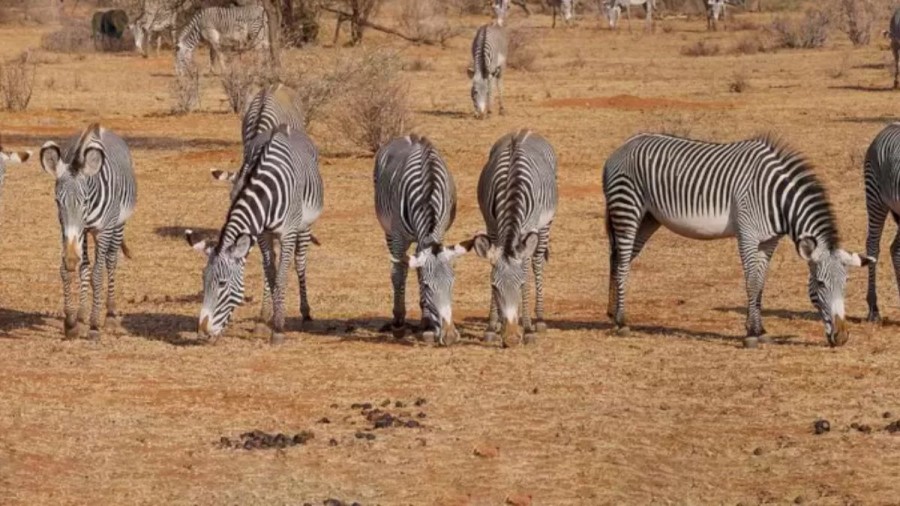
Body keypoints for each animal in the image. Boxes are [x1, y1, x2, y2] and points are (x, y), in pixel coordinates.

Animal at [39, 124, 138, 342]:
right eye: (57, 201)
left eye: (84, 200)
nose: (70, 258)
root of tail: (103, 129)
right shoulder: (70, 230)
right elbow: (69, 271)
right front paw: (71, 323)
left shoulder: (104, 231)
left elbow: (97, 275)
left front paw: (94, 326)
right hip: (86, 235)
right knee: (84, 267)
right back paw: (82, 315)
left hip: (117, 225)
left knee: (110, 262)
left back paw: (109, 315)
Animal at [185, 123, 322, 344]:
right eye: (203, 281)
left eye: (222, 284)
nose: (202, 333)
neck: (266, 194)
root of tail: (285, 128)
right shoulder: (262, 234)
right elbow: (270, 273)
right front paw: (268, 320)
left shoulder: (288, 233)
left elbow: (281, 277)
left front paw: (278, 328)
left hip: (305, 225)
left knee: (300, 263)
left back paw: (306, 313)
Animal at [374, 135, 472, 348]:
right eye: (428, 286)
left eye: (453, 283)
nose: (450, 336)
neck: (427, 194)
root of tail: (407, 136)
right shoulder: (398, 237)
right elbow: (400, 274)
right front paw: (400, 324)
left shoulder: (439, 231)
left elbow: (419, 271)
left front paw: (427, 324)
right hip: (388, 232)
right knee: (398, 271)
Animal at [464, 128, 556, 348]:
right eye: (494, 287)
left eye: (521, 285)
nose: (513, 339)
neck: (511, 189)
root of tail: (524, 130)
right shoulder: (491, 226)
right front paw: (492, 326)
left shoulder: (528, 228)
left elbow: (525, 269)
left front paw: (528, 328)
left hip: (545, 225)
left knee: (537, 263)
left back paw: (539, 319)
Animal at [604, 133, 872, 348]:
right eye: (820, 284)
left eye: (846, 283)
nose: (841, 337)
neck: (777, 199)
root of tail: (622, 147)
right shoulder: (747, 235)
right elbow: (751, 283)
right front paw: (751, 334)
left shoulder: (768, 241)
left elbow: (761, 283)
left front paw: (760, 329)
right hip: (627, 208)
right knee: (623, 261)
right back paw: (622, 321)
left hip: (649, 218)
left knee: (617, 258)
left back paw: (611, 313)